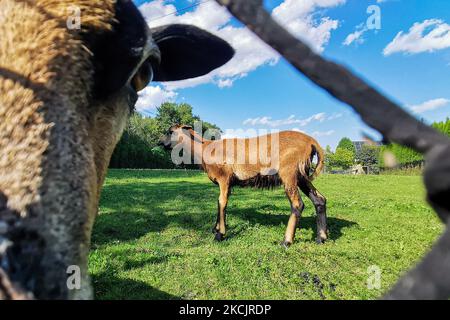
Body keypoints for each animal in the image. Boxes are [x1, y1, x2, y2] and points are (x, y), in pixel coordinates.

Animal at [159, 125, 326, 248]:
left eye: (170, 131)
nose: (160, 143)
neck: (206, 149)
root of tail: (312, 142)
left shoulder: (224, 178)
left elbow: (221, 203)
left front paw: (219, 235)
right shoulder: (227, 183)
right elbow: (220, 204)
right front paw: (215, 229)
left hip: (289, 172)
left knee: (297, 204)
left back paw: (286, 241)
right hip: (301, 175)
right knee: (320, 200)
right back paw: (321, 238)